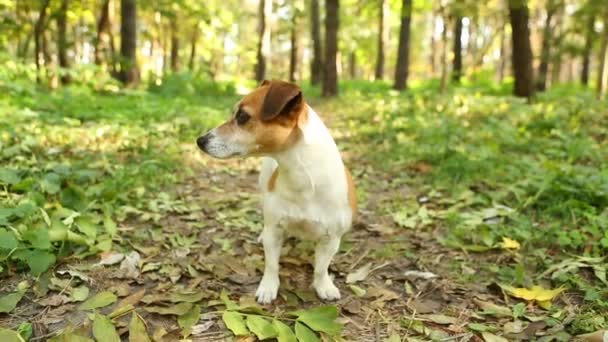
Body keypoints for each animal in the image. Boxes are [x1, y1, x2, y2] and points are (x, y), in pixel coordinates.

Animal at [195, 79, 356, 304]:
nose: (200, 140)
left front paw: (324, 286)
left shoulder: (331, 239)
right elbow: (271, 265)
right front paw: (268, 287)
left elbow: (321, 268)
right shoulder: (275, 230)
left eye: (242, 116)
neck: (302, 179)